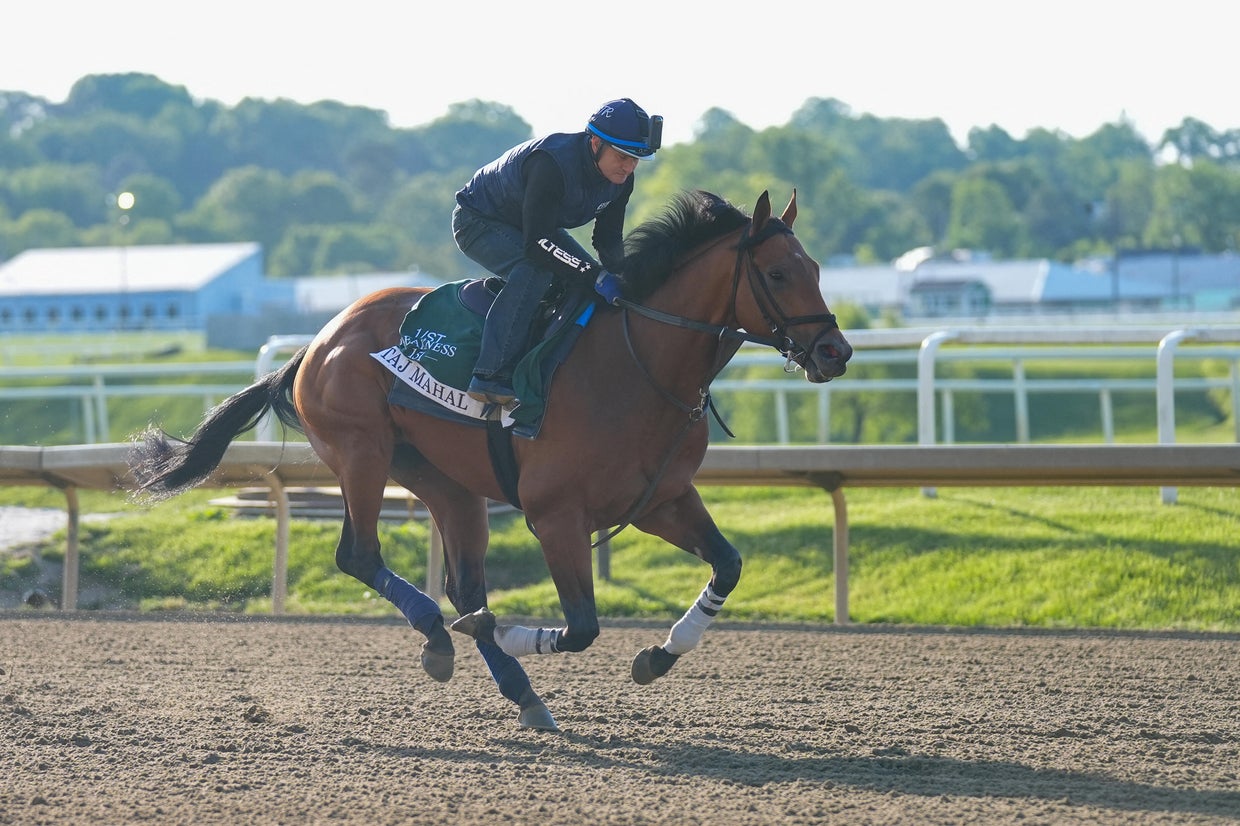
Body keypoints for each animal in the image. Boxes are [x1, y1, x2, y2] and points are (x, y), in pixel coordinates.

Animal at [129, 189, 853, 731]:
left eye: (817, 268)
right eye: (779, 273)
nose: (835, 353)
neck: (637, 363)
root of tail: (318, 342)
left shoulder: (663, 499)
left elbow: (728, 565)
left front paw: (657, 655)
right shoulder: (555, 515)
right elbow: (582, 626)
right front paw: (506, 632)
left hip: (445, 483)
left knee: (462, 583)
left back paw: (520, 691)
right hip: (363, 452)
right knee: (361, 555)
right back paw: (441, 636)